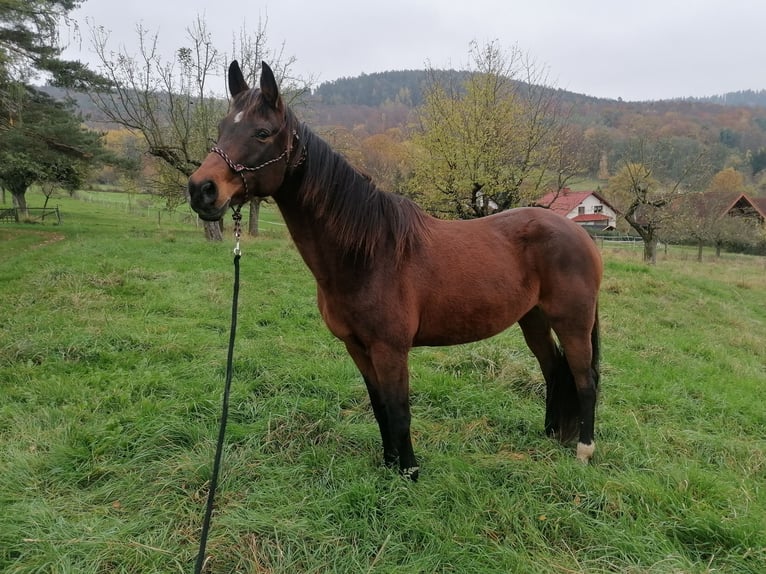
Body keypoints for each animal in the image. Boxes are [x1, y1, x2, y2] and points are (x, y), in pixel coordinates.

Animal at [188, 60, 608, 482]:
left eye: (262, 132)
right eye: (222, 128)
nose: (201, 190)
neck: (368, 252)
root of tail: (580, 234)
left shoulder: (390, 349)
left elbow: (400, 409)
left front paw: (409, 471)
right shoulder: (357, 346)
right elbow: (380, 407)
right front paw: (390, 464)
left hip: (572, 321)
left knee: (584, 378)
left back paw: (584, 450)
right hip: (532, 318)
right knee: (554, 369)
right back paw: (552, 434)